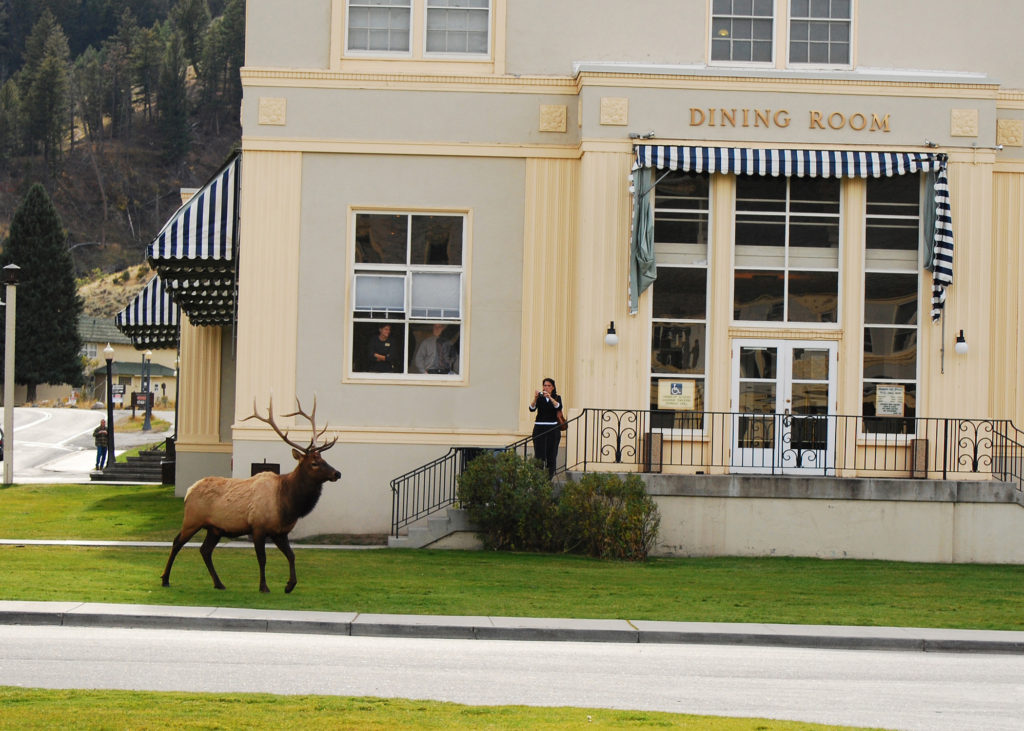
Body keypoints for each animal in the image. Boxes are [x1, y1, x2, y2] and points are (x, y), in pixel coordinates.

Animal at [159, 393, 342, 593]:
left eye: (324, 459)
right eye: (314, 463)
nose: (337, 473)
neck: (288, 504)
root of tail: (189, 491)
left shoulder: (280, 532)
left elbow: (291, 555)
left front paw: (290, 585)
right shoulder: (258, 527)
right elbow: (262, 559)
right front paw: (264, 586)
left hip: (215, 528)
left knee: (205, 550)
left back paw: (219, 583)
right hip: (192, 519)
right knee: (177, 542)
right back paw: (165, 579)